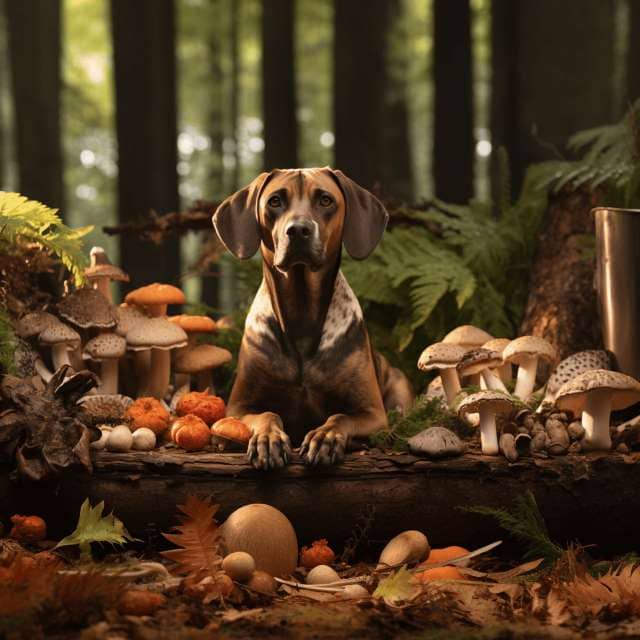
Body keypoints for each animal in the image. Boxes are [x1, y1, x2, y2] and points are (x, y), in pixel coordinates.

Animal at [212, 168, 412, 468]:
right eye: (275, 201)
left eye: (325, 200)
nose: (298, 230)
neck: (301, 314)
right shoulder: (238, 407)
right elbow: (267, 414)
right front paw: (267, 439)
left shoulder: (372, 413)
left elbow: (339, 417)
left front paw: (325, 437)